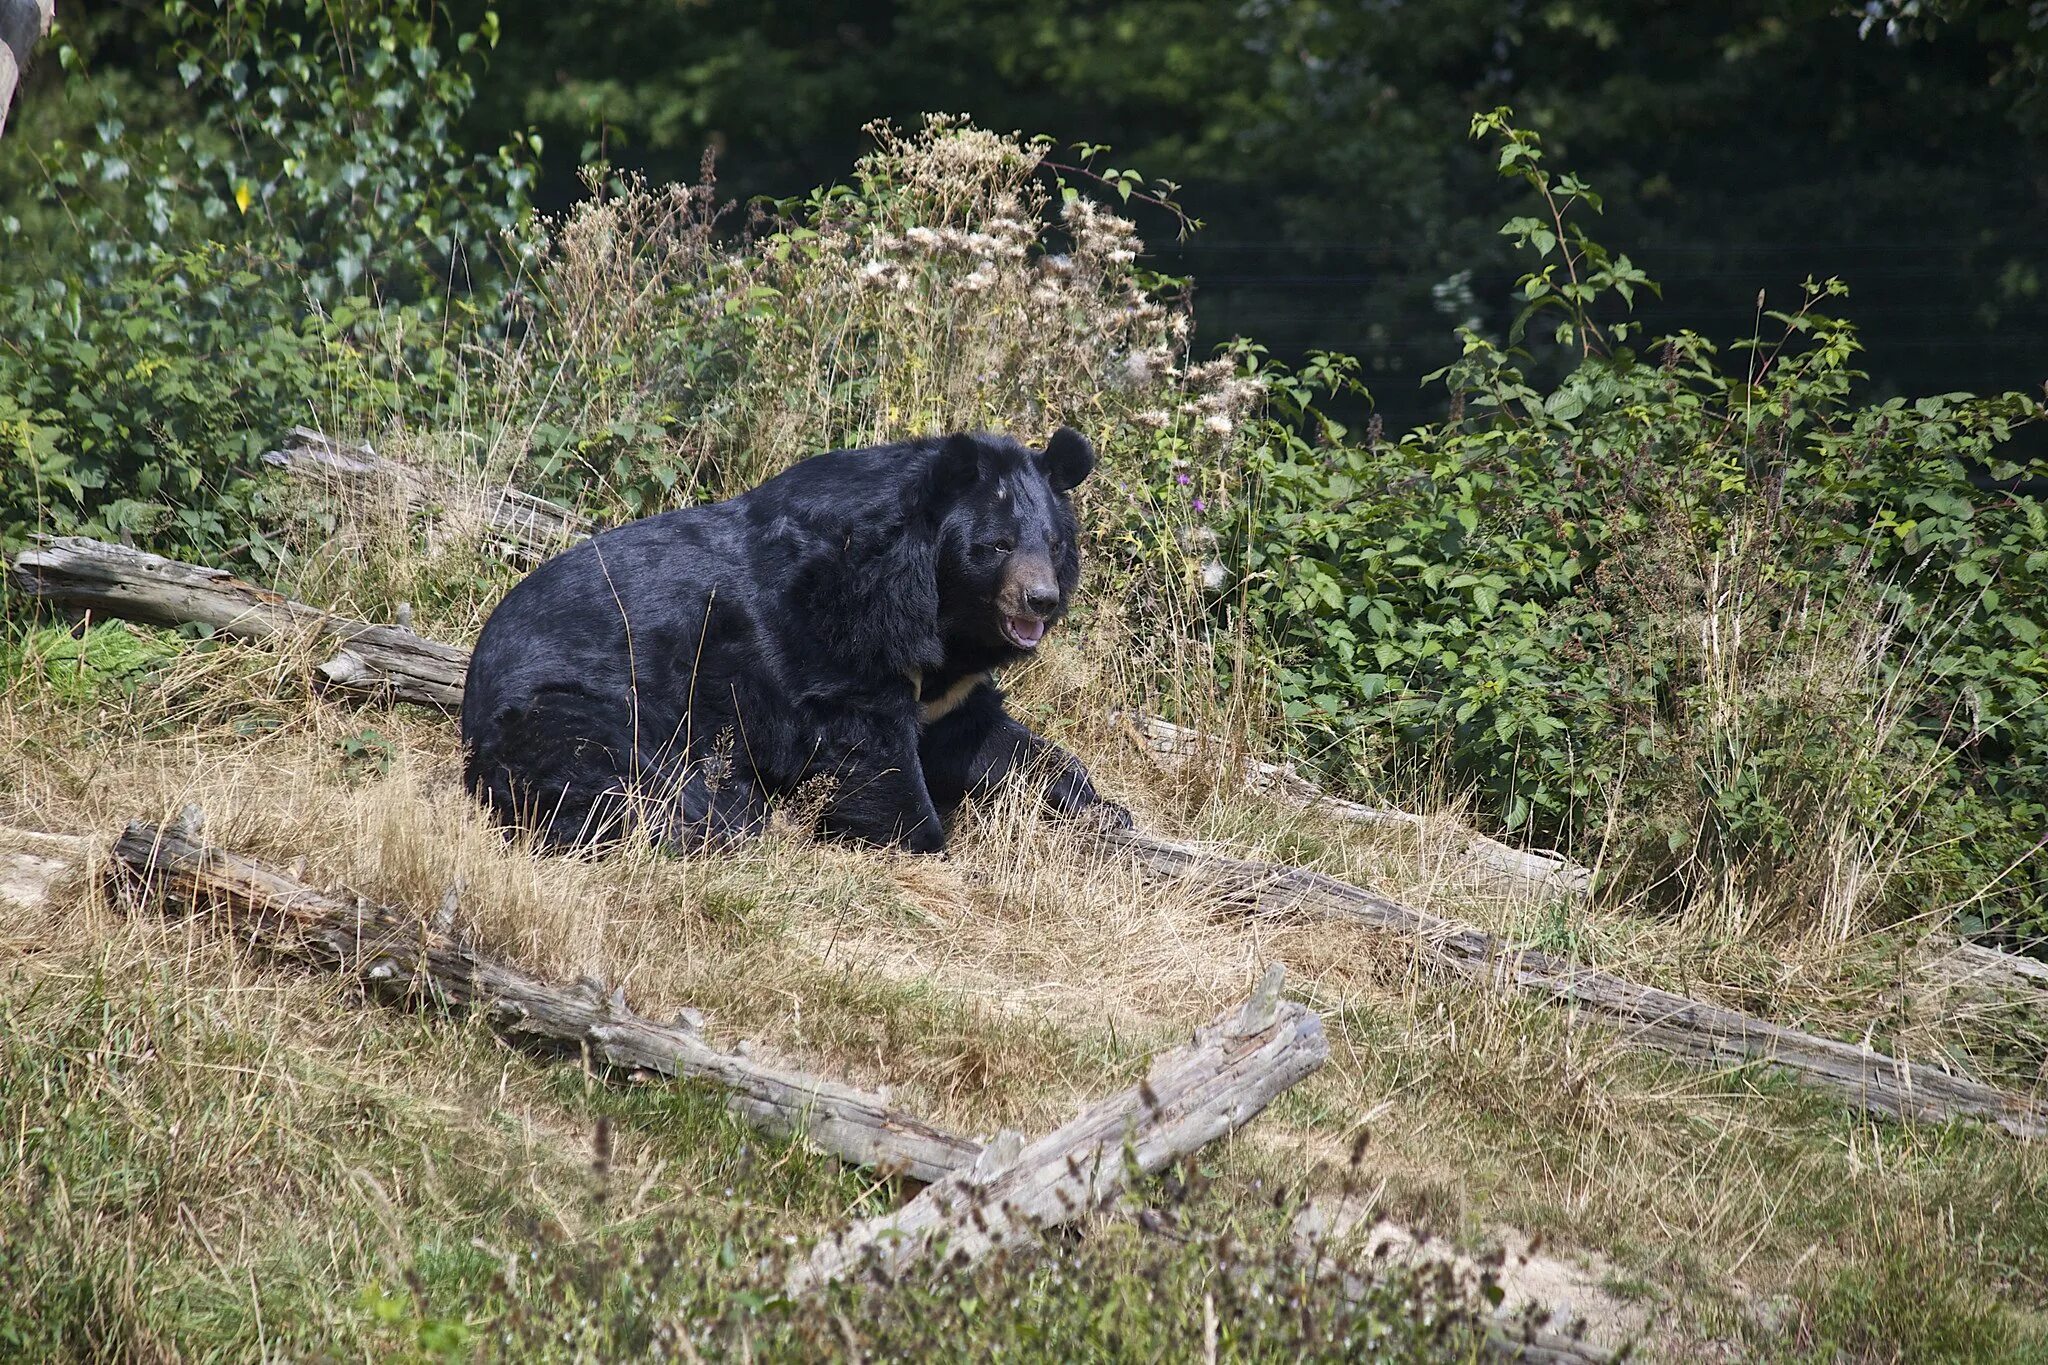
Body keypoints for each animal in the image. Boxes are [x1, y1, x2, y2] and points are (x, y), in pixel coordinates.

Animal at [464, 427, 1130, 855]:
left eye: (1053, 544)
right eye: (996, 546)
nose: (1040, 601)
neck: (932, 605)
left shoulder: (949, 687)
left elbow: (991, 738)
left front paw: (1103, 806)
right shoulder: (834, 634)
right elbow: (868, 753)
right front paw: (919, 832)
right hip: (575, 699)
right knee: (617, 777)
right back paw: (724, 815)